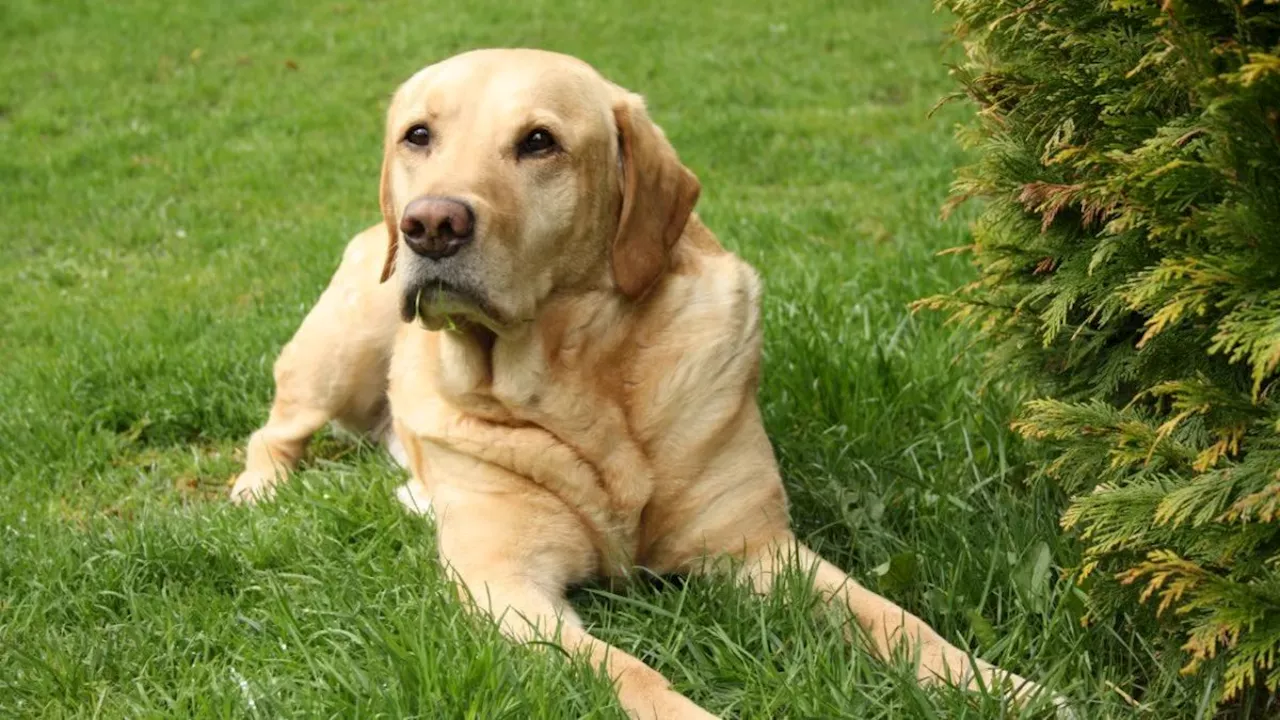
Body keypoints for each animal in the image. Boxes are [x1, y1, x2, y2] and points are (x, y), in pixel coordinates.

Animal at [232, 47, 1059, 712]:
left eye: (539, 142)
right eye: (418, 135)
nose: (430, 224)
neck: (575, 384)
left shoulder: (761, 550)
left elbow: (898, 620)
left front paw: (1010, 688)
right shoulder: (507, 586)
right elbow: (629, 672)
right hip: (341, 346)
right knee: (275, 431)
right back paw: (257, 492)